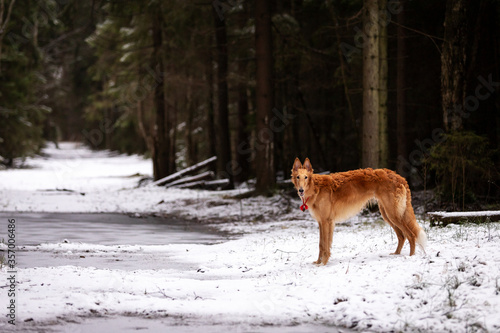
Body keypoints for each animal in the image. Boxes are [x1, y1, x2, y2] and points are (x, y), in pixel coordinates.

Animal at [292, 158, 428, 264]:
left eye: (306, 177)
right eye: (298, 177)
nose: (301, 190)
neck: (316, 188)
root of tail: (398, 176)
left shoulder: (326, 221)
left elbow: (325, 245)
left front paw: (323, 263)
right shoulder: (321, 222)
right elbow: (321, 244)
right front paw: (318, 262)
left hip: (393, 214)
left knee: (410, 235)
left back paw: (411, 256)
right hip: (387, 214)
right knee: (401, 236)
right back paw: (396, 254)